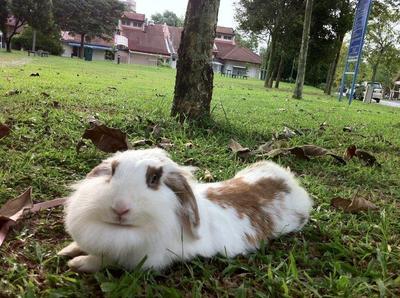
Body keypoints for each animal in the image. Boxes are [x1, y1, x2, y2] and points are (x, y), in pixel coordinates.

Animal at [58, 147, 312, 272]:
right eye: (112, 171)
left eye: (154, 179)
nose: (120, 208)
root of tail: (288, 180)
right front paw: (65, 251)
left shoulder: (142, 260)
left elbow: (107, 261)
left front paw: (78, 263)